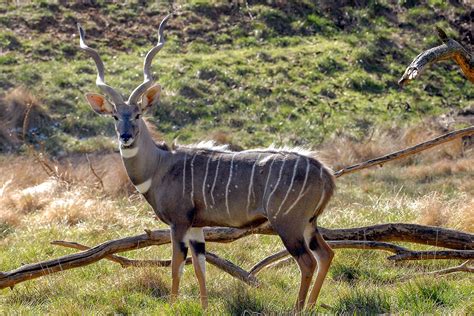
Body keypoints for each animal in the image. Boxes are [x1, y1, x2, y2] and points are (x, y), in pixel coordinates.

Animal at [78, 14, 336, 312]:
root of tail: (325, 173)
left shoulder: (178, 222)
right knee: (326, 254)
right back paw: (311, 305)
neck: (160, 166)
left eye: (139, 114)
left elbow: (177, 265)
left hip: (287, 223)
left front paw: (173, 305)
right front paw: (203, 306)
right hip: (309, 223)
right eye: (115, 117)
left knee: (307, 261)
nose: (126, 137)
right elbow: (200, 266)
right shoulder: (196, 227)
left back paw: (298, 308)